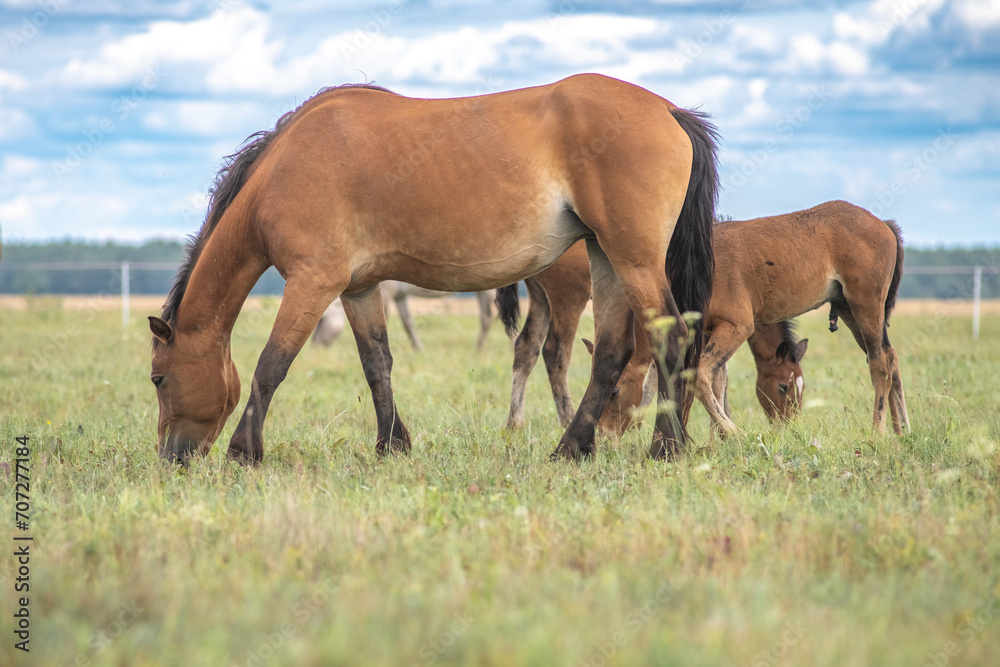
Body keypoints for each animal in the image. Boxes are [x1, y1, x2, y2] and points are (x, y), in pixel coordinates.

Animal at [145, 75, 720, 464]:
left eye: (157, 378)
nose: (171, 456)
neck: (287, 167)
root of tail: (669, 110)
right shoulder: (359, 289)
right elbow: (376, 363)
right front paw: (391, 444)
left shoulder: (312, 282)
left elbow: (272, 364)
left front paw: (244, 450)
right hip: (606, 258)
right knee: (611, 353)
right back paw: (571, 447)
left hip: (633, 259)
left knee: (670, 337)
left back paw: (665, 447)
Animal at [692, 201, 912, 436]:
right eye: (783, 386)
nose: (790, 427)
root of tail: (884, 225)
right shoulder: (710, 330)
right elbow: (718, 382)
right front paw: (717, 438)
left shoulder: (736, 326)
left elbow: (701, 376)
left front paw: (732, 434)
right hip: (849, 311)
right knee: (891, 358)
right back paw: (902, 432)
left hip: (866, 306)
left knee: (880, 362)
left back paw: (877, 432)